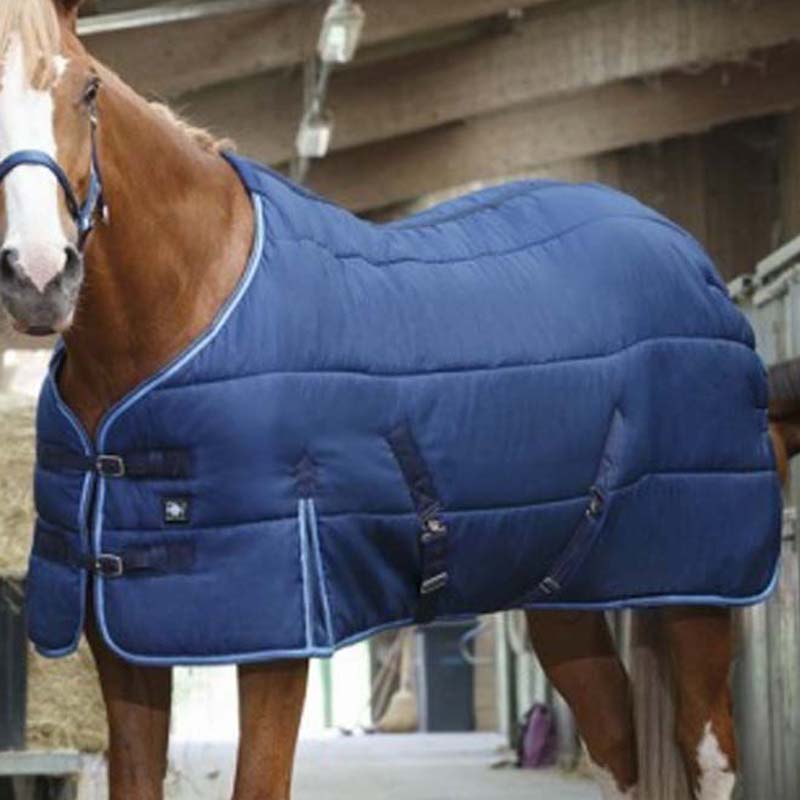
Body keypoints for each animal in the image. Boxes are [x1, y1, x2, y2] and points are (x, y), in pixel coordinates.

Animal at [0, 3, 780, 799]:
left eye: (88, 90)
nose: (40, 276)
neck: (187, 307)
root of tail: (684, 252)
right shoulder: (121, 635)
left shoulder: (283, 633)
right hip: (565, 593)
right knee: (617, 741)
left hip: (694, 587)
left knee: (708, 747)